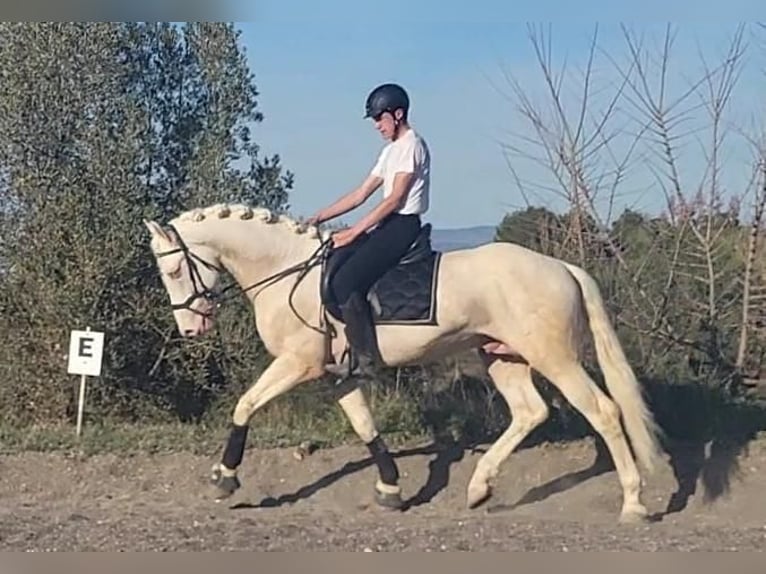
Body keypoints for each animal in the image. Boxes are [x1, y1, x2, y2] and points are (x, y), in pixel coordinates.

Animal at [144, 202, 664, 528]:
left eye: (174, 269)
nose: (190, 330)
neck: (286, 269)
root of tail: (563, 268)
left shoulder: (298, 363)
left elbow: (245, 405)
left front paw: (224, 478)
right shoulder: (336, 376)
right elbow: (365, 426)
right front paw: (391, 490)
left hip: (553, 357)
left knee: (603, 411)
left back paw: (633, 503)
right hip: (502, 355)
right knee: (530, 412)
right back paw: (478, 488)